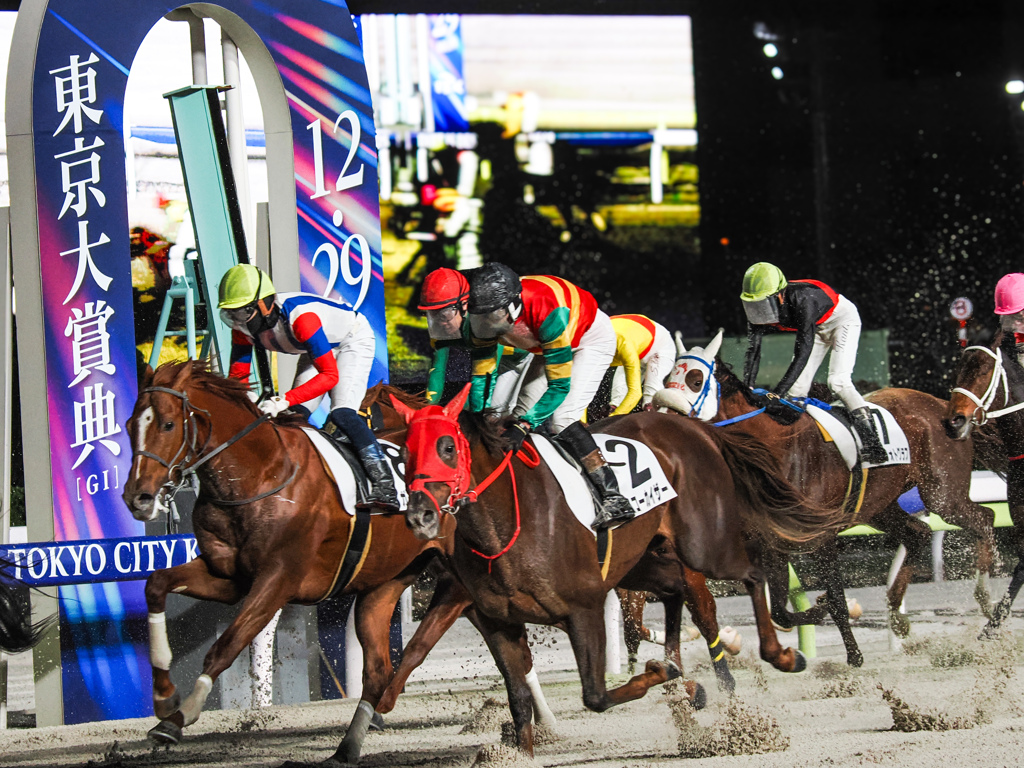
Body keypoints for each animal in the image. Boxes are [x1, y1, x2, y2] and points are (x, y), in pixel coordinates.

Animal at [122, 361, 465, 764]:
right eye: (130, 425)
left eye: (167, 424)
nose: (138, 498)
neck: (260, 476)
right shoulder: (227, 576)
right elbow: (156, 584)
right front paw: (163, 697)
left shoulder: (279, 579)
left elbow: (228, 643)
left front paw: (180, 717)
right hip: (384, 584)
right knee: (379, 668)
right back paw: (358, 735)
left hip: (462, 576)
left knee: (426, 639)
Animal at [390, 385, 846, 756]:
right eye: (404, 454)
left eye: (448, 447)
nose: (420, 515)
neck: (505, 524)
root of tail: (695, 428)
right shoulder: (499, 620)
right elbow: (519, 703)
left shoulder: (584, 609)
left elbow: (595, 695)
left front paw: (660, 671)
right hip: (642, 561)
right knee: (676, 589)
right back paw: (689, 680)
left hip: (705, 546)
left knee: (751, 572)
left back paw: (780, 655)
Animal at [656, 330, 1001, 665]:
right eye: (668, 378)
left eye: (695, 380)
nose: (662, 419)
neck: (774, 450)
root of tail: (944, 406)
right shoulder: (774, 543)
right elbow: (780, 610)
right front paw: (820, 614)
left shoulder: (822, 537)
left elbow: (835, 598)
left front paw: (854, 655)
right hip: (880, 506)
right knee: (919, 533)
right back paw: (898, 614)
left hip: (942, 494)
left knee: (985, 518)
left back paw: (987, 600)